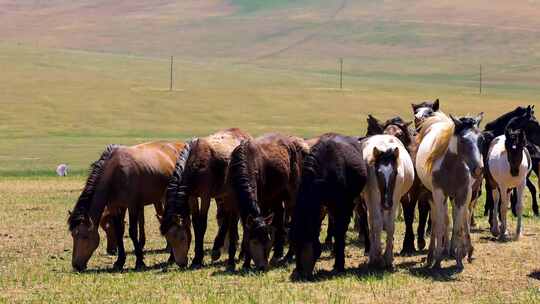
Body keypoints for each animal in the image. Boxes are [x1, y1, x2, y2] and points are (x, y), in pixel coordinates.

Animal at [67, 140, 187, 270]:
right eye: (73, 235)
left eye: (85, 236)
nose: (76, 265)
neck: (115, 174)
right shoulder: (115, 206)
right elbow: (119, 231)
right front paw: (119, 261)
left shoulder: (132, 206)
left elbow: (132, 232)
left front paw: (139, 261)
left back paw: (172, 257)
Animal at [158, 128, 251, 268]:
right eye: (168, 239)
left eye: (182, 238)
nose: (180, 263)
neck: (195, 163)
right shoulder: (192, 196)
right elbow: (196, 223)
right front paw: (197, 257)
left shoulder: (205, 196)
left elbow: (202, 224)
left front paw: (197, 259)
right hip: (226, 194)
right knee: (227, 218)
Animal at [294, 134, 370, 280]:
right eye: (294, 243)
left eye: (305, 243)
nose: (299, 272)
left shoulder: (344, 206)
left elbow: (340, 232)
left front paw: (339, 265)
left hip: (358, 198)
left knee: (363, 216)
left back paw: (368, 248)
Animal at [362, 134, 414, 268]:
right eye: (378, 173)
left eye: (395, 173)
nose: (386, 204)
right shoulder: (375, 198)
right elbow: (377, 224)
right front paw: (377, 257)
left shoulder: (395, 199)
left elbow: (390, 226)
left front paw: (388, 257)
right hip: (369, 199)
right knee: (372, 224)